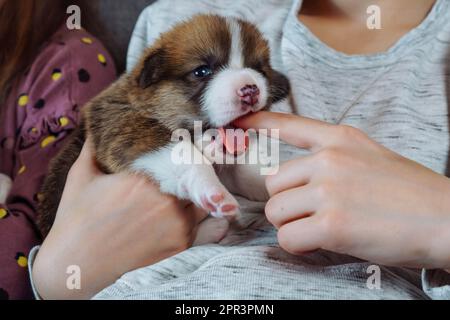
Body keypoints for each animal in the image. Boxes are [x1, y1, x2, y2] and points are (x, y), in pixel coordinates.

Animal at [37, 14, 290, 240]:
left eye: (259, 70)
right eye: (202, 71)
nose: (250, 90)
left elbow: (246, 174)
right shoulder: (128, 129)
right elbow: (185, 157)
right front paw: (212, 190)